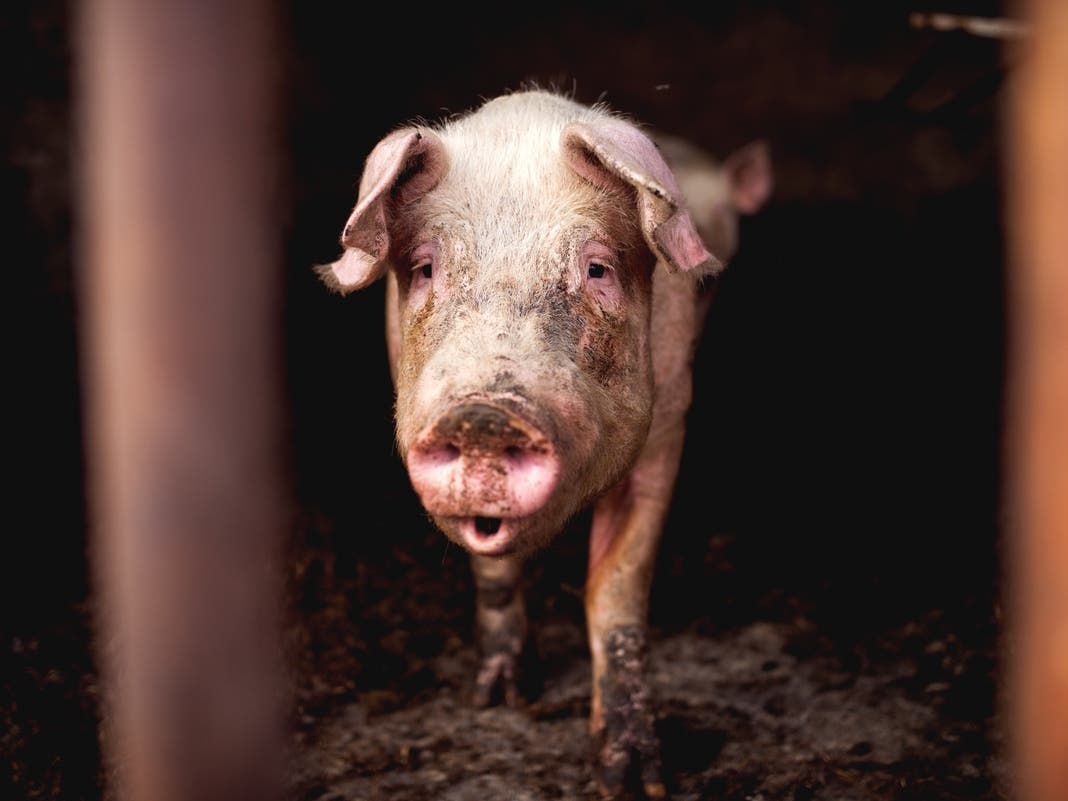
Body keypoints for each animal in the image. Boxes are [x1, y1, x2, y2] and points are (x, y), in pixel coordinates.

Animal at [317, 89, 771, 799]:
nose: (484, 417)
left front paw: (631, 780)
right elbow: (493, 568)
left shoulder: (669, 425)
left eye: (597, 268)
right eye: (424, 268)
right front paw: (502, 700)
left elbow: (615, 588)